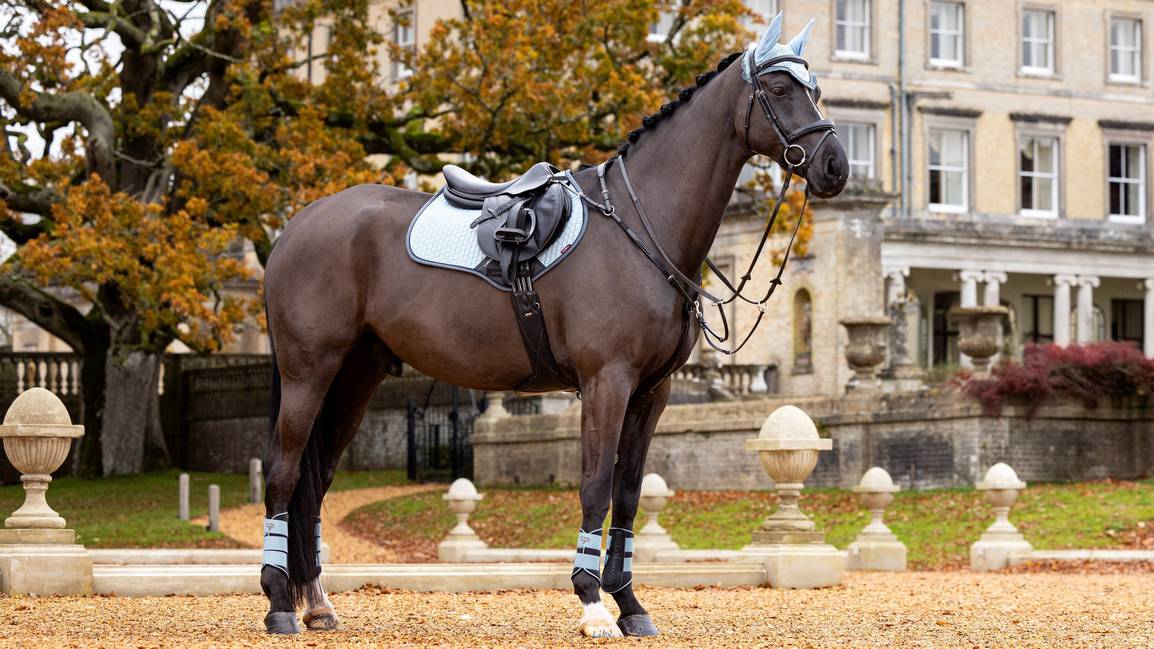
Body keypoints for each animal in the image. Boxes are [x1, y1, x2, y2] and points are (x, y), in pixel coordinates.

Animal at [259, 13, 848, 638]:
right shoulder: (606, 382)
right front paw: (593, 604)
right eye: (780, 89)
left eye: (813, 88)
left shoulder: (652, 392)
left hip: (355, 377)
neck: (639, 227)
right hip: (309, 373)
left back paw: (317, 603)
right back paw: (278, 604)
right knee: (282, 470)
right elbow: (595, 487)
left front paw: (630, 604)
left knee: (316, 479)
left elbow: (629, 493)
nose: (837, 165)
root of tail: (296, 226)